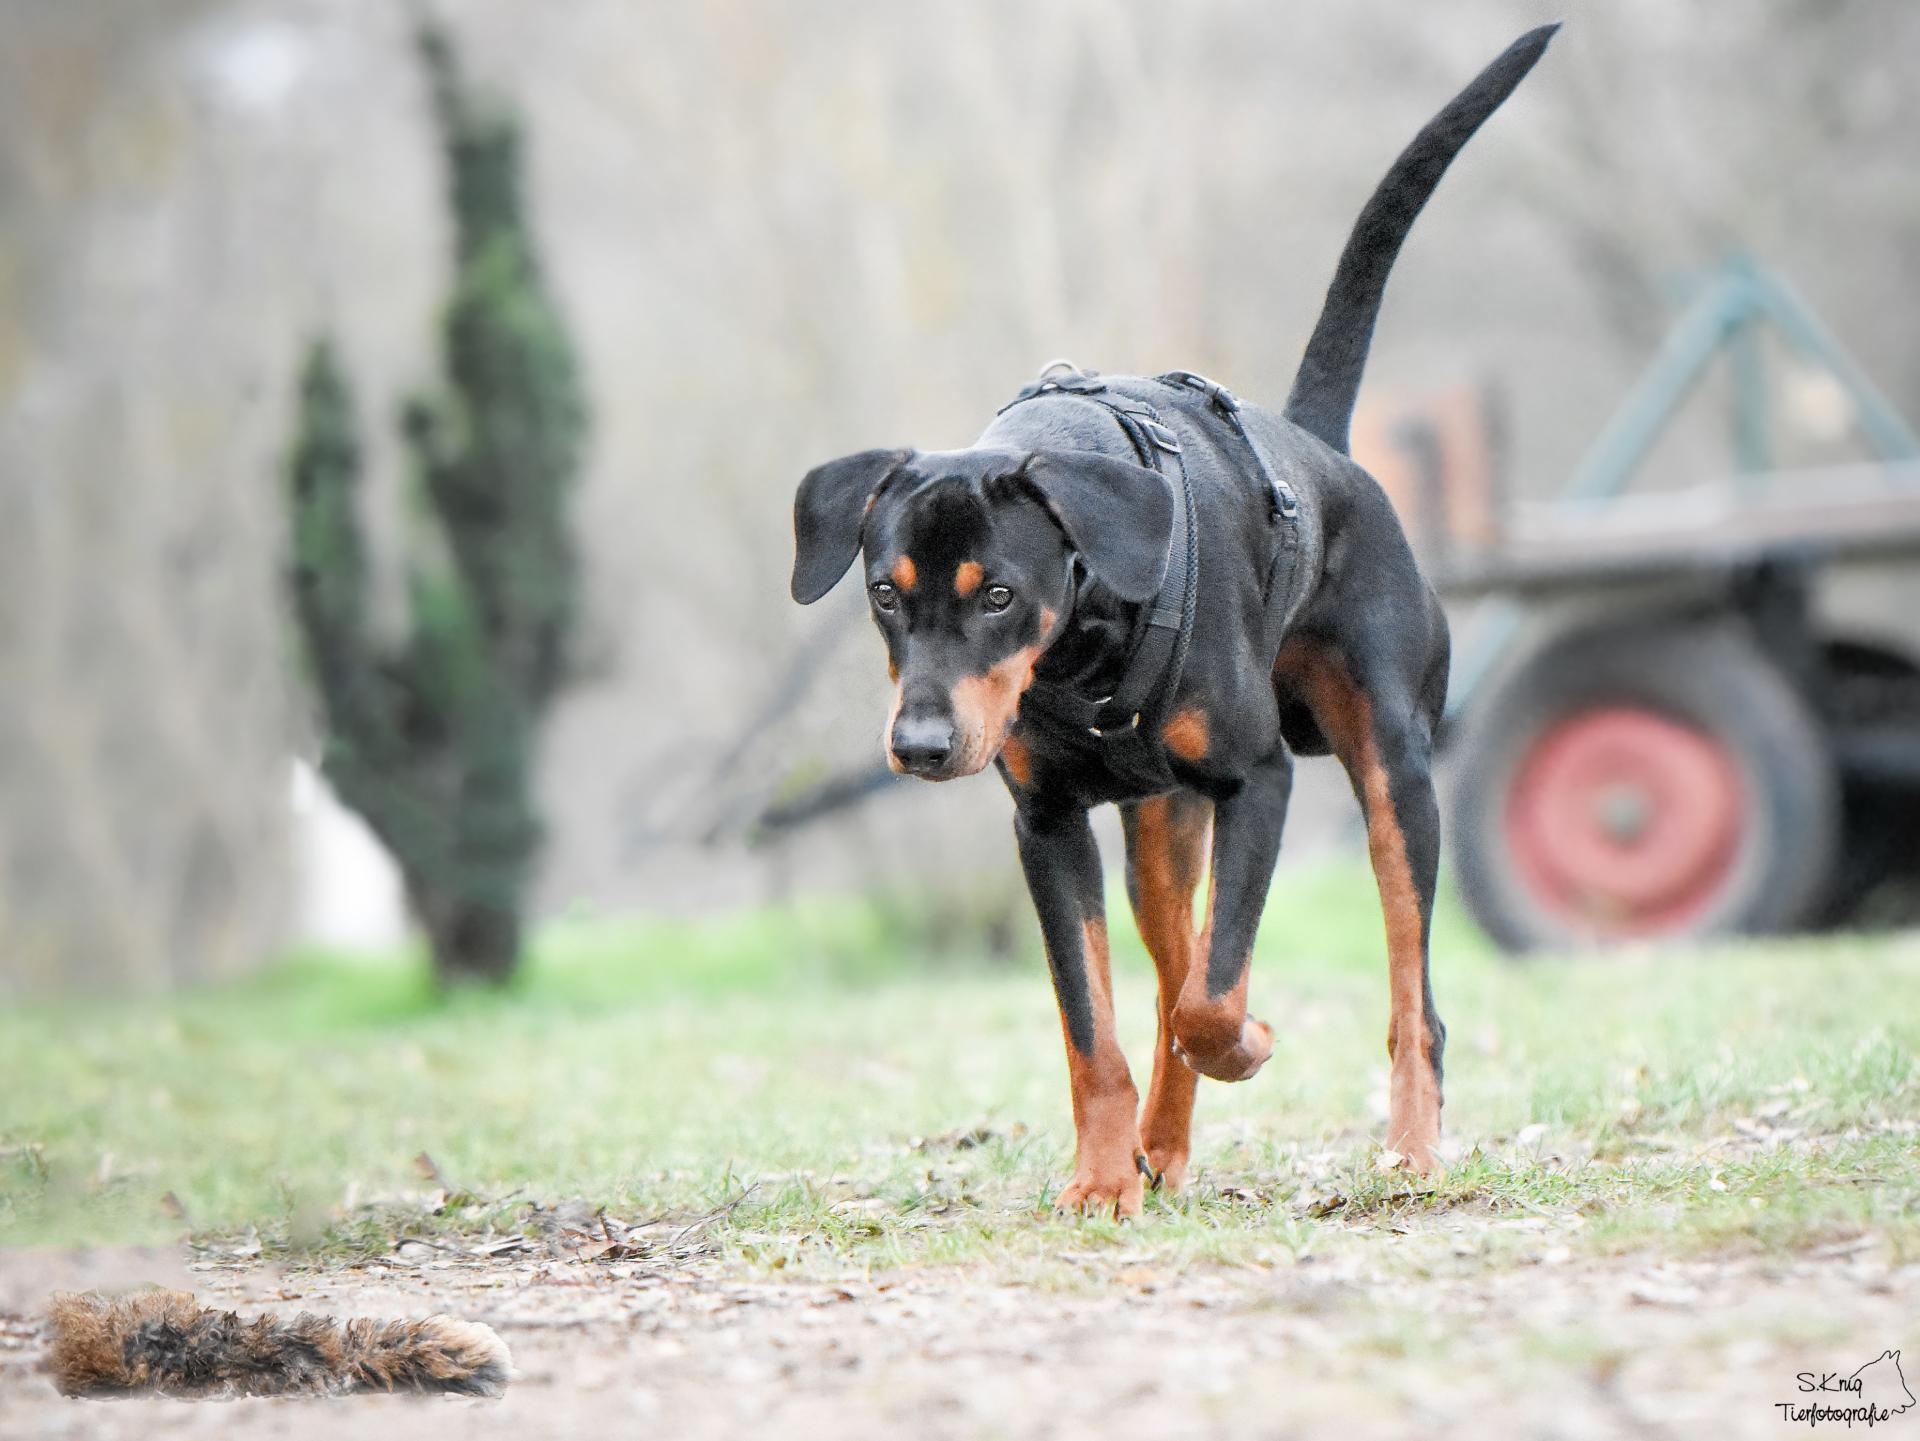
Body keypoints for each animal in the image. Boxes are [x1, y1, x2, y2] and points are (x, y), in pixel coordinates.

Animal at [787, 28, 1551, 1212]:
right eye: (884, 594)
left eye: (998, 595)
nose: (919, 745)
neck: (1079, 658)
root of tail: (1320, 452)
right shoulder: (1048, 824)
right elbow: (1096, 1026)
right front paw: (1105, 1178)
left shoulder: (1259, 782)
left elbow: (1216, 995)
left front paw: (1251, 1043)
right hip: (1161, 827)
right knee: (1165, 966)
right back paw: (1162, 1144)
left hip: (1393, 772)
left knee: (1401, 994)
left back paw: (1413, 1148)